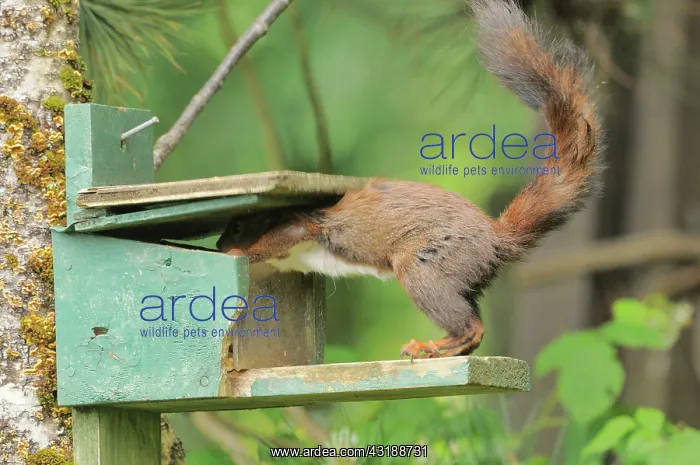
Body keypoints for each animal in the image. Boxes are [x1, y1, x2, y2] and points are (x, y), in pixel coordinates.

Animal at [217, 0, 604, 360]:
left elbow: (280, 236)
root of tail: (495, 240)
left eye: (237, 225)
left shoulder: (305, 221)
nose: (219, 245)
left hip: (426, 267)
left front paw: (239, 253)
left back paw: (430, 347)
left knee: (471, 327)